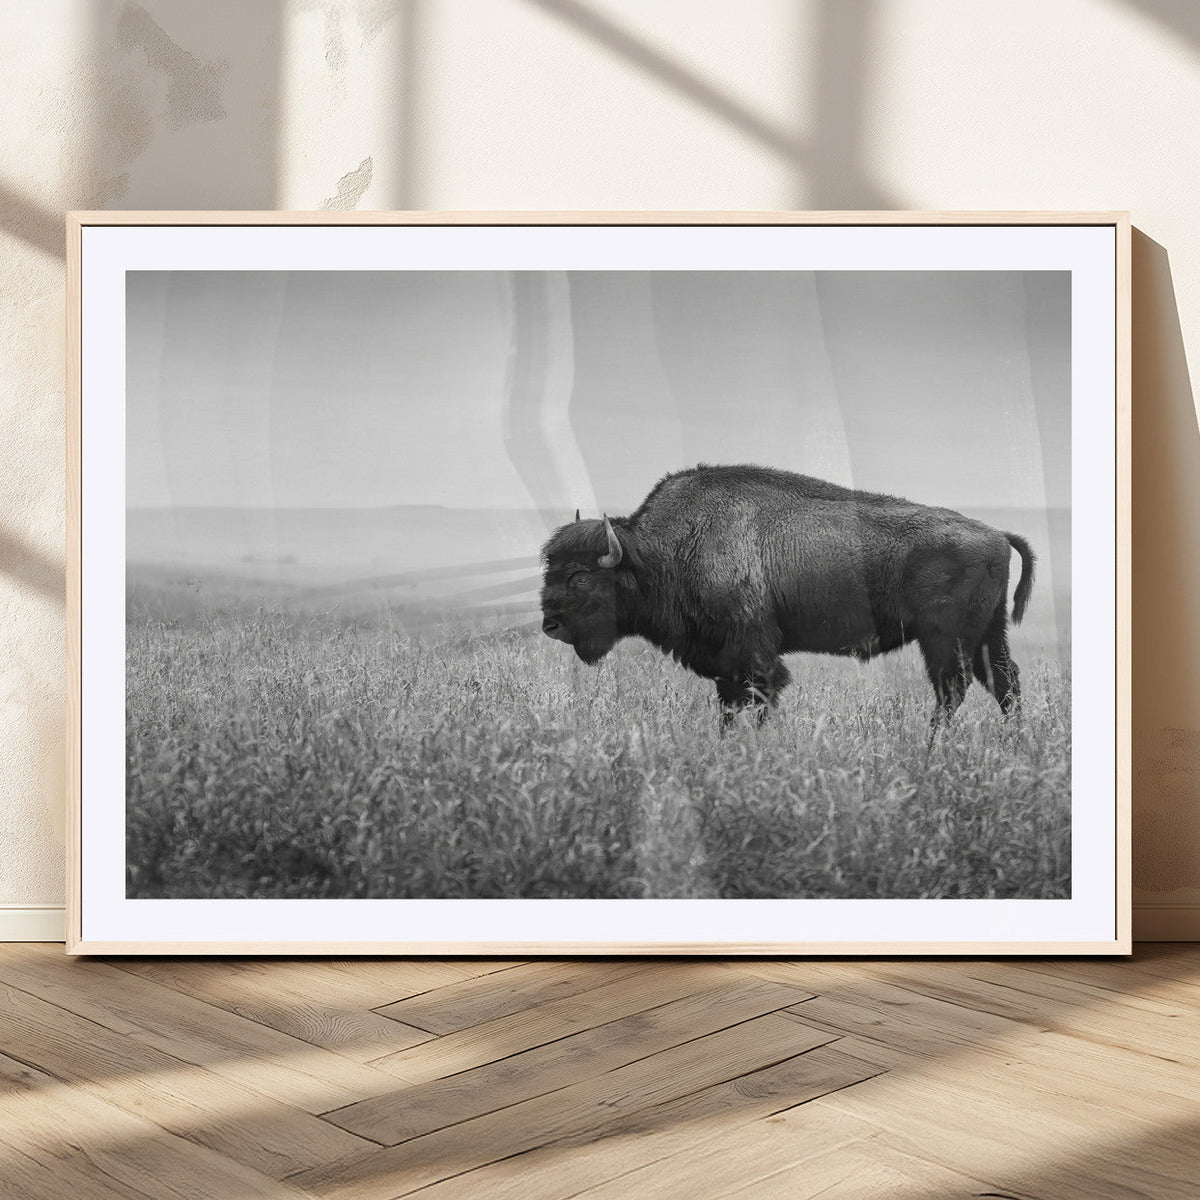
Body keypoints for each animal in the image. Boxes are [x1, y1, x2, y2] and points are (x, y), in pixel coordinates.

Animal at [539, 464, 1035, 727]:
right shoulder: (726, 666)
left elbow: (760, 699)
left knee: (953, 690)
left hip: (944, 639)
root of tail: (996, 533)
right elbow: (729, 708)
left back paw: (932, 747)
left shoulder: (755, 657)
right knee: (1004, 684)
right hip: (988, 634)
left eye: (581, 576)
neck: (665, 550)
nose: (550, 624)